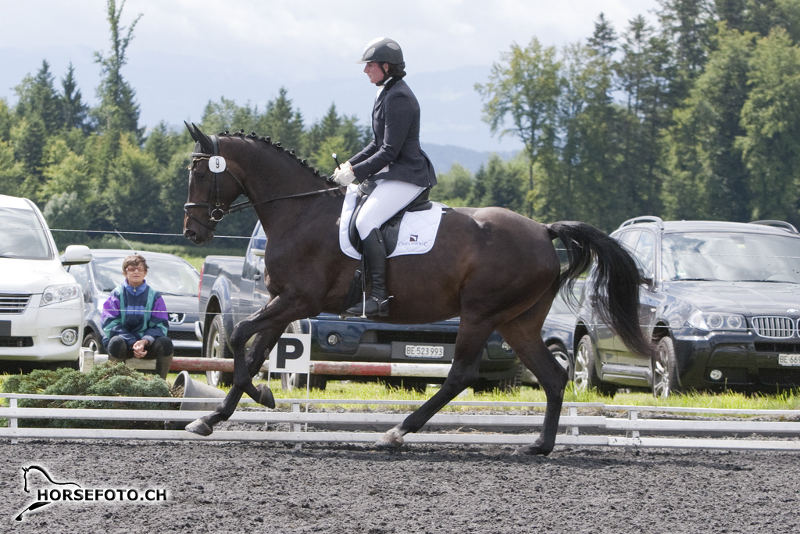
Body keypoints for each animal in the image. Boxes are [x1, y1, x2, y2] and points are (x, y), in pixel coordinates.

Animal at [182, 123, 652, 455]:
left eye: (201, 172)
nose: (192, 232)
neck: (301, 211)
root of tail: (543, 230)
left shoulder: (298, 300)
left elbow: (241, 338)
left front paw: (258, 397)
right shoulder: (285, 303)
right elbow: (255, 352)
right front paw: (216, 416)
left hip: (480, 313)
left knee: (460, 374)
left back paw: (397, 432)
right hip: (518, 322)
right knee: (553, 376)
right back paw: (539, 445)